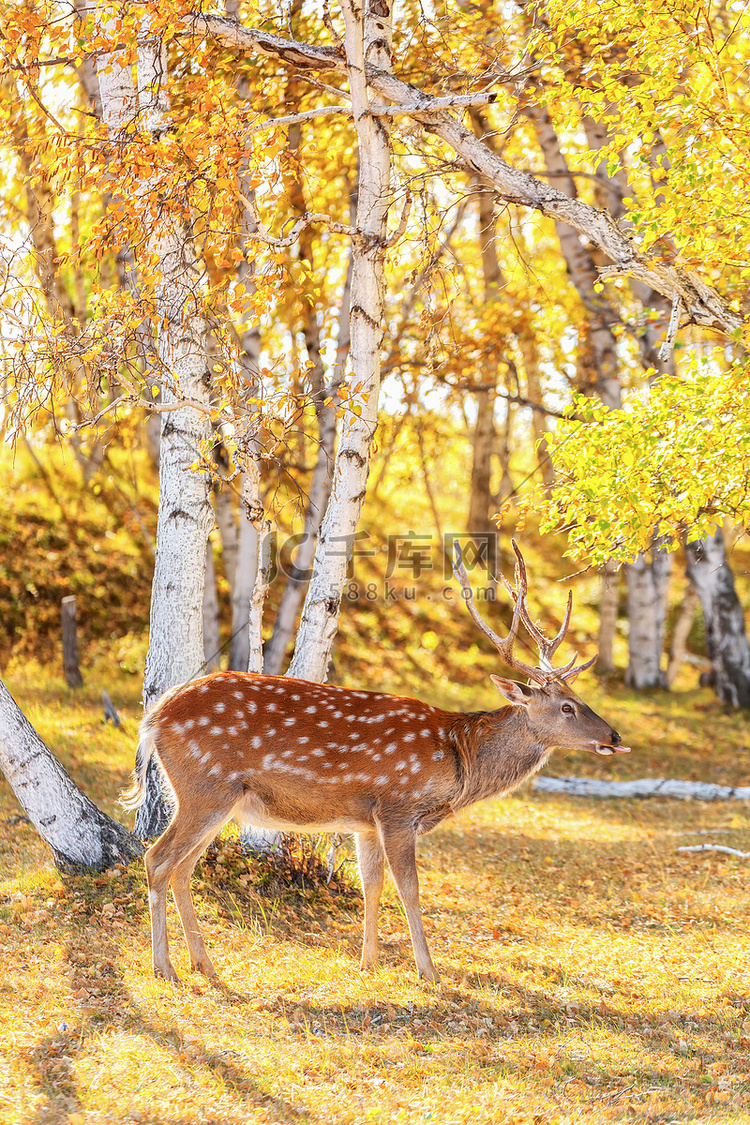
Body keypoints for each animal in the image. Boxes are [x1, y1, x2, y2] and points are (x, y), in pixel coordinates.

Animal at [122, 544, 629, 985]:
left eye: (577, 698)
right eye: (567, 707)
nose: (614, 736)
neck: (459, 758)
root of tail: (153, 718)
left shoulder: (364, 820)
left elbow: (373, 884)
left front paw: (368, 964)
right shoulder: (397, 805)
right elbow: (410, 887)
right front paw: (428, 971)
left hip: (213, 798)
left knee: (182, 868)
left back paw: (204, 965)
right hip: (205, 786)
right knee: (157, 858)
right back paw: (165, 968)